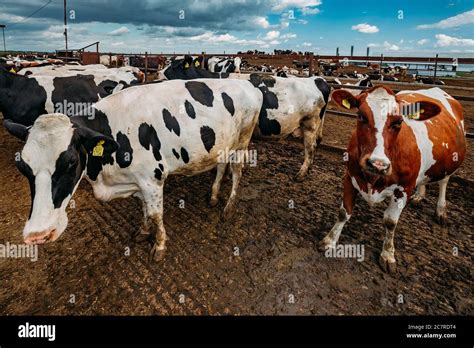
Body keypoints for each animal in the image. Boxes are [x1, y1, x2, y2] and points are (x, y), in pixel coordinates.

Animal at [12, 77, 262, 260]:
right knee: (221, 166)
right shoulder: (138, 181)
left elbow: (155, 214)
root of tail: (247, 83)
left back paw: (228, 207)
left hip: (242, 140)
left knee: (236, 172)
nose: (37, 235)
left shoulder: (153, 178)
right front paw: (143, 232)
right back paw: (213, 196)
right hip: (223, 144)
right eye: (22, 166)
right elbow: (143, 208)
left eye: (72, 161)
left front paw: (159, 246)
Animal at [318, 85, 466, 274]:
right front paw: (329, 241)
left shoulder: (404, 188)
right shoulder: (350, 176)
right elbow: (344, 212)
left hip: (449, 163)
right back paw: (420, 195)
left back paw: (441, 210)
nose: (377, 164)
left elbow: (390, 222)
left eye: (398, 122)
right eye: (361, 116)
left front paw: (388, 255)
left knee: (444, 182)